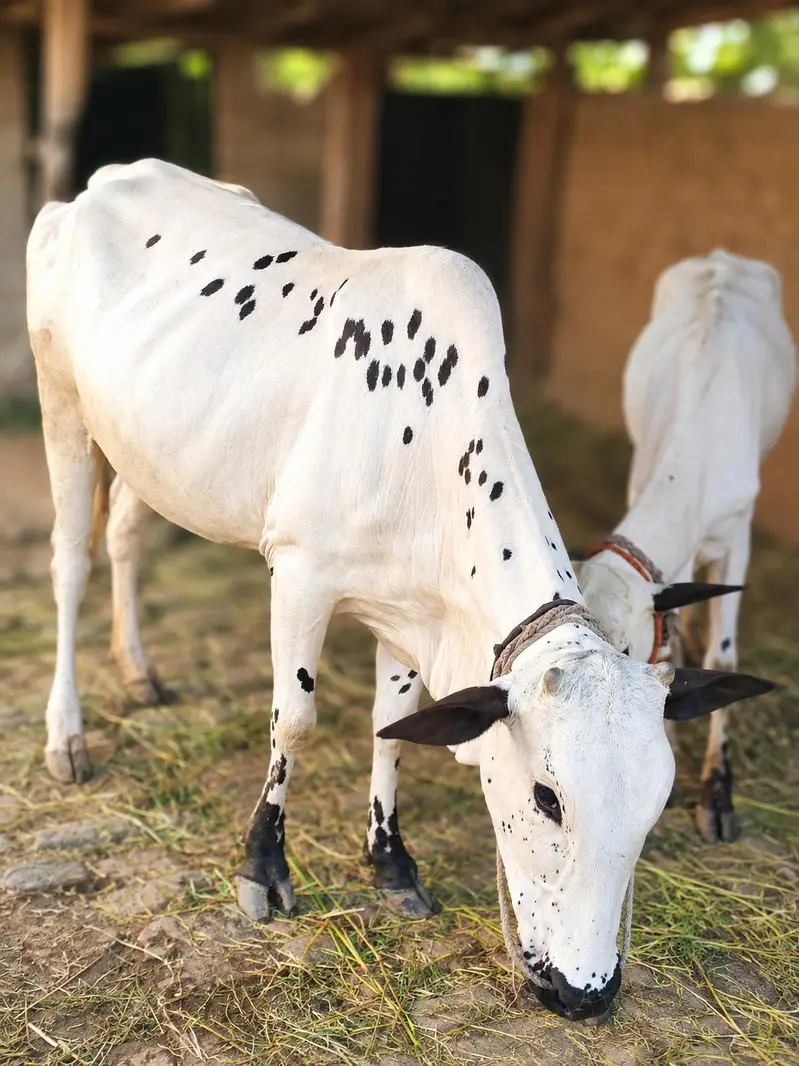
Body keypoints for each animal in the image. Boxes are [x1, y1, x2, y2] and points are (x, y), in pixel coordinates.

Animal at [26, 161, 773, 1023]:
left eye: (655, 801)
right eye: (547, 798)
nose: (586, 993)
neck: (423, 443)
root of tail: (102, 183)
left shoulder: (405, 612)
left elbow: (392, 727)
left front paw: (390, 863)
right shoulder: (300, 577)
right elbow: (295, 723)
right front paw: (261, 868)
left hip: (149, 452)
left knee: (123, 537)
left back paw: (140, 673)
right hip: (61, 407)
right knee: (68, 564)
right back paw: (67, 734)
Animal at [577, 249, 795, 844]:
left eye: (622, 651)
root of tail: (723, 257)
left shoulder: (737, 532)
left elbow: (724, 652)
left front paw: (717, 793)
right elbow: (670, 638)